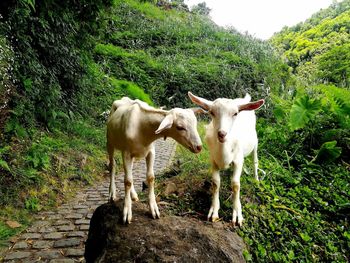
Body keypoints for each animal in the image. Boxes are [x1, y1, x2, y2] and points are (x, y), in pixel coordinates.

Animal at [106, 97, 202, 225]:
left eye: (195, 124)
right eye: (180, 127)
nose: (199, 147)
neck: (142, 128)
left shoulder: (151, 152)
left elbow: (151, 177)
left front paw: (154, 209)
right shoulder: (126, 153)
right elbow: (127, 181)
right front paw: (126, 213)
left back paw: (134, 195)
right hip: (109, 142)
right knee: (113, 165)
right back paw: (112, 194)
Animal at [187, 92, 264, 226]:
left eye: (235, 113)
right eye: (212, 112)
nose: (222, 134)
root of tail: (244, 100)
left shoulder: (238, 161)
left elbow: (236, 184)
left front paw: (237, 214)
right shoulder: (213, 160)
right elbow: (216, 183)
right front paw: (214, 211)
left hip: (255, 143)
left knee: (255, 161)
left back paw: (256, 180)